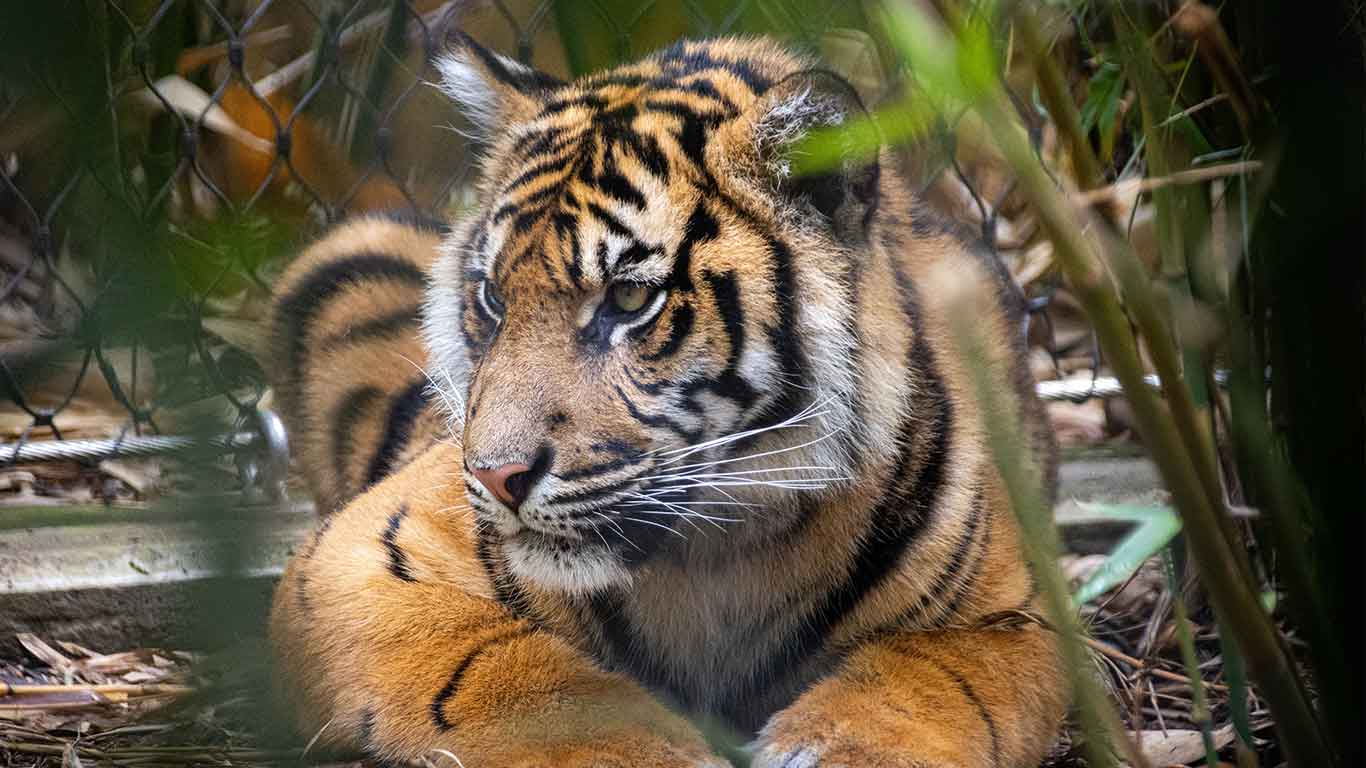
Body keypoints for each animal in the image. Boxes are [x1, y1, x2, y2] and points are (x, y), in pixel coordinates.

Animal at [267, 34, 1068, 768]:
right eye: (493, 298)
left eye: (627, 299)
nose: (496, 477)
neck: (719, 552)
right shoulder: (358, 557)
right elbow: (513, 676)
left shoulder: (1013, 615)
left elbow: (928, 681)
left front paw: (845, 745)